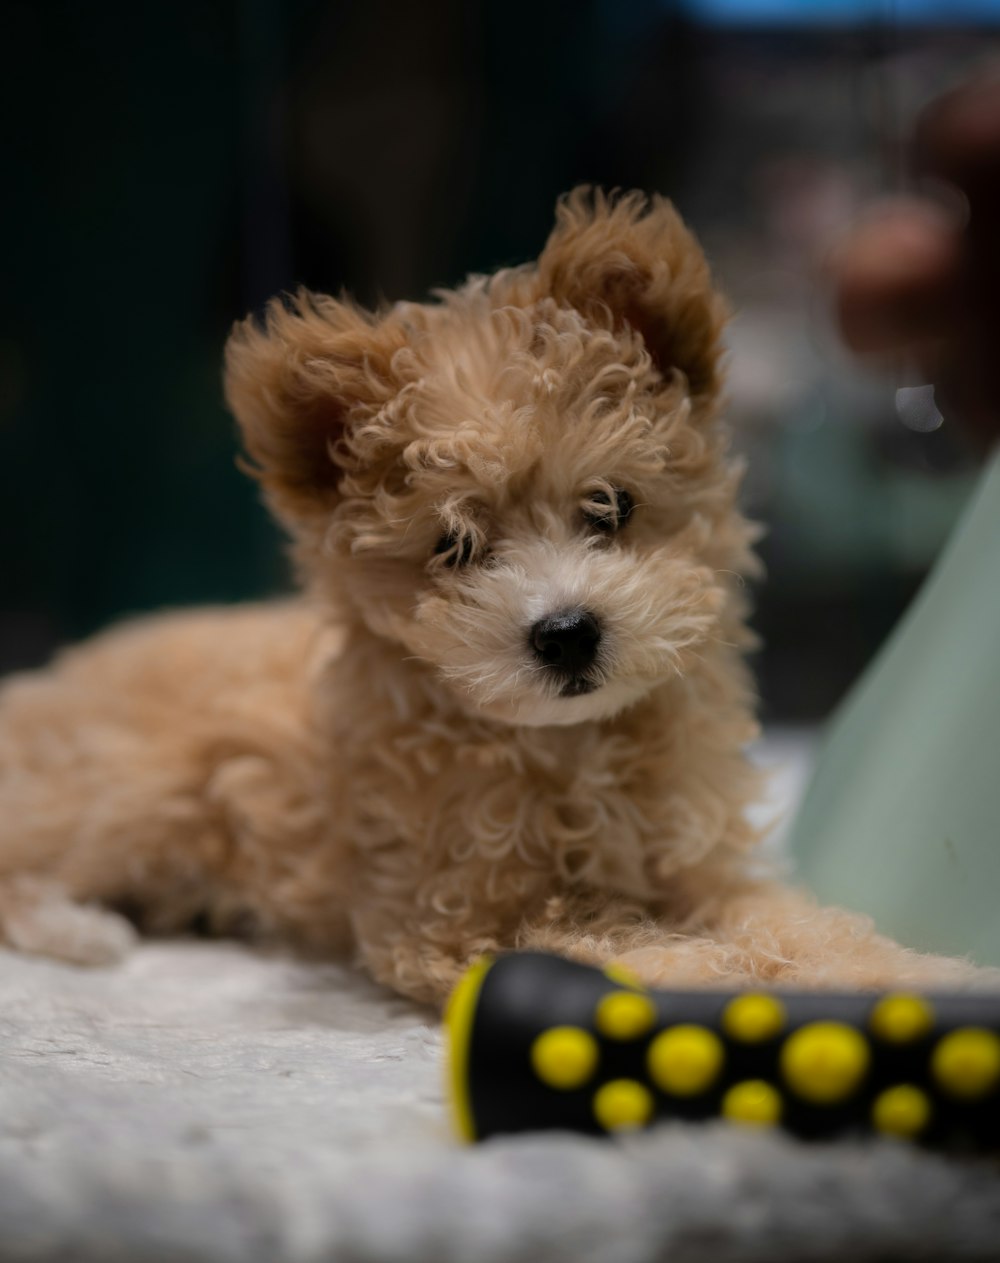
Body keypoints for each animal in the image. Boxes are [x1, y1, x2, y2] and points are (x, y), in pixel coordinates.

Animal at [0, 194, 979, 1005]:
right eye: (456, 546)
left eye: (609, 507)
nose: (567, 633)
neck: (571, 746)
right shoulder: (455, 919)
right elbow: (642, 948)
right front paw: (736, 980)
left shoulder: (699, 866)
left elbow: (789, 922)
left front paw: (910, 974)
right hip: (123, 796)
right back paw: (86, 929)